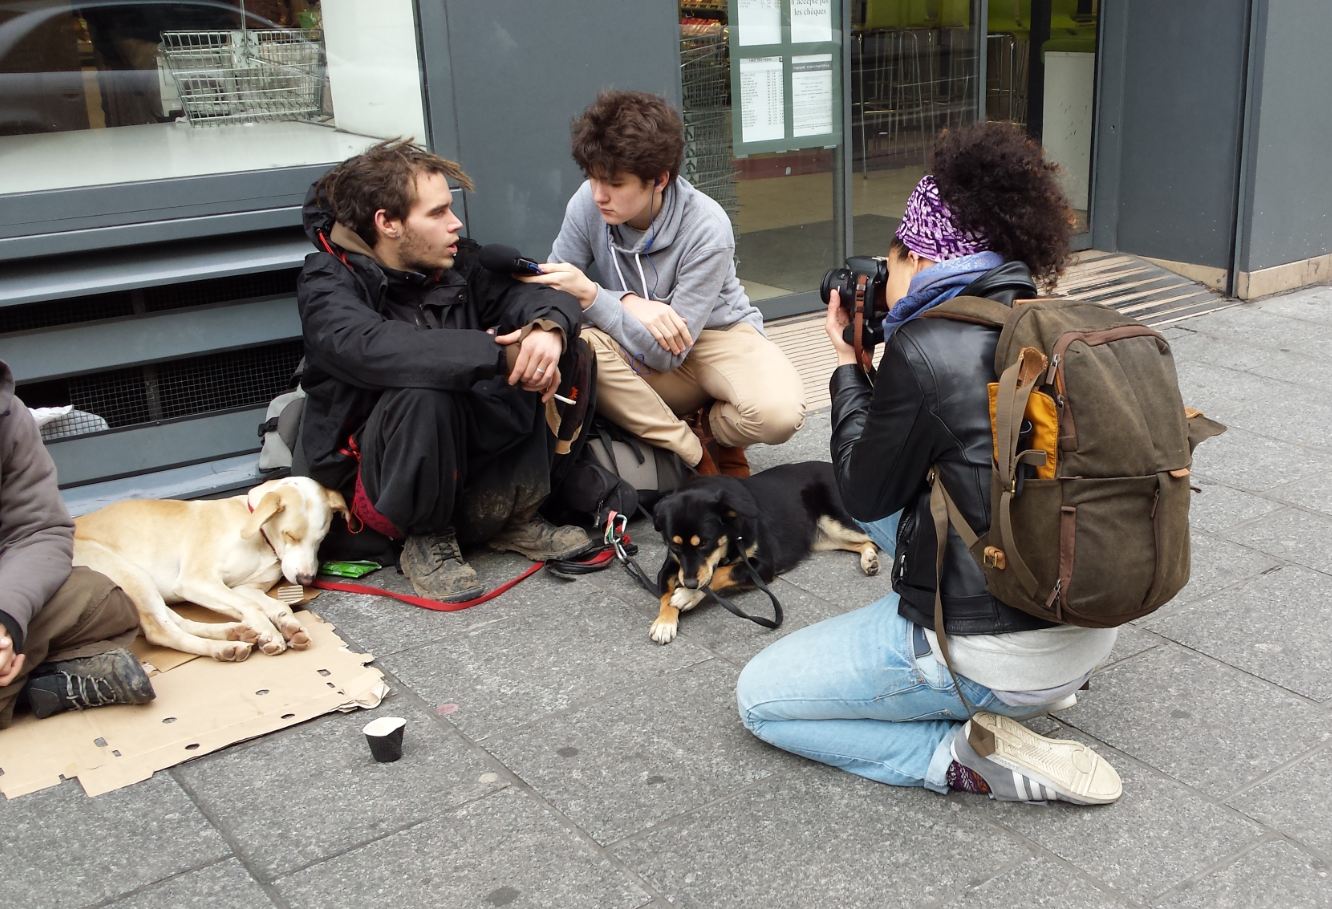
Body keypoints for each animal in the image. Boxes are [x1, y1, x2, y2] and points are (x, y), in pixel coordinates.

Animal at [72, 474, 348, 658]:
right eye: (290, 535)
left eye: (321, 539)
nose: (306, 580)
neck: (257, 534)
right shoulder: (197, 581)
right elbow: (251, 606)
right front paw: (269, 632)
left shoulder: (243, 588)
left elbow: (275, 604)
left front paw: (288, 625)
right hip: (132, 576)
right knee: (160, 631)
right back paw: (225, 647)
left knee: (177, 622)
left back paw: (234, 633)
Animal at [650, 461, 879, 645]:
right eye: (674, 546)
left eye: (705, 543)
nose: (689, 584)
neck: (732, 532)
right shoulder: (671, 565)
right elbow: (665, 592)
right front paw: (664, 622)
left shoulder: (762, 566)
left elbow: (722, 573)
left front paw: (686, 596)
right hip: (824, 536)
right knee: (868, 543)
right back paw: (869, 560)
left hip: (839, 522)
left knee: (876, 537)